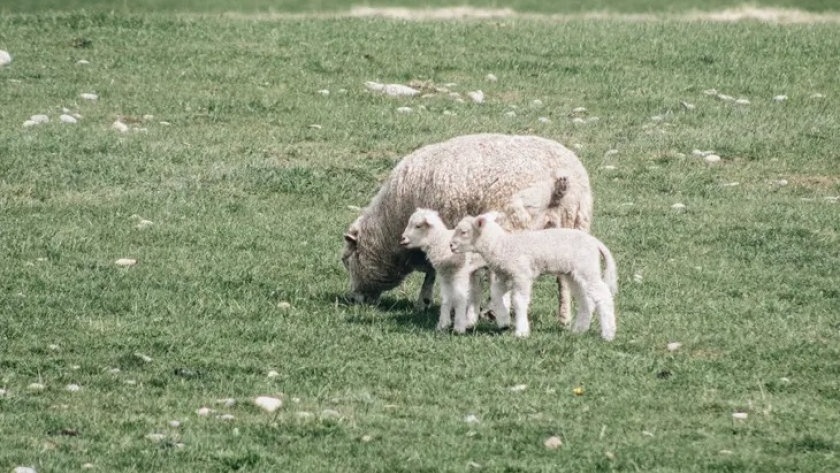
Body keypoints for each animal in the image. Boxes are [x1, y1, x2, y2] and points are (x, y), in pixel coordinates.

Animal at [340, 133, 592, 324]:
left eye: (347, 260)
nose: (353, 300)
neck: (390, 222)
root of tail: (558, 182)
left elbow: (432, 271)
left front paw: (424, 302)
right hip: (572, 227)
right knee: (564, 279)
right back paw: (564, 318)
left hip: (514, 223)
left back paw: (493, 312)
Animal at [450, 211, 620, 340]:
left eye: (464, 232)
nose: (451, 246)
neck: (502, 246)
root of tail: (596, 243)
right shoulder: (506, 276)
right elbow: (496, 293)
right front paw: (503, 321)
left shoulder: (521, 274)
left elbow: (519, 301)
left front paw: (521, 332)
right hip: (574, 273)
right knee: (585, 299)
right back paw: (579, 329)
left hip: (587, 267)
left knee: (603, 295)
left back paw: (608, 333)